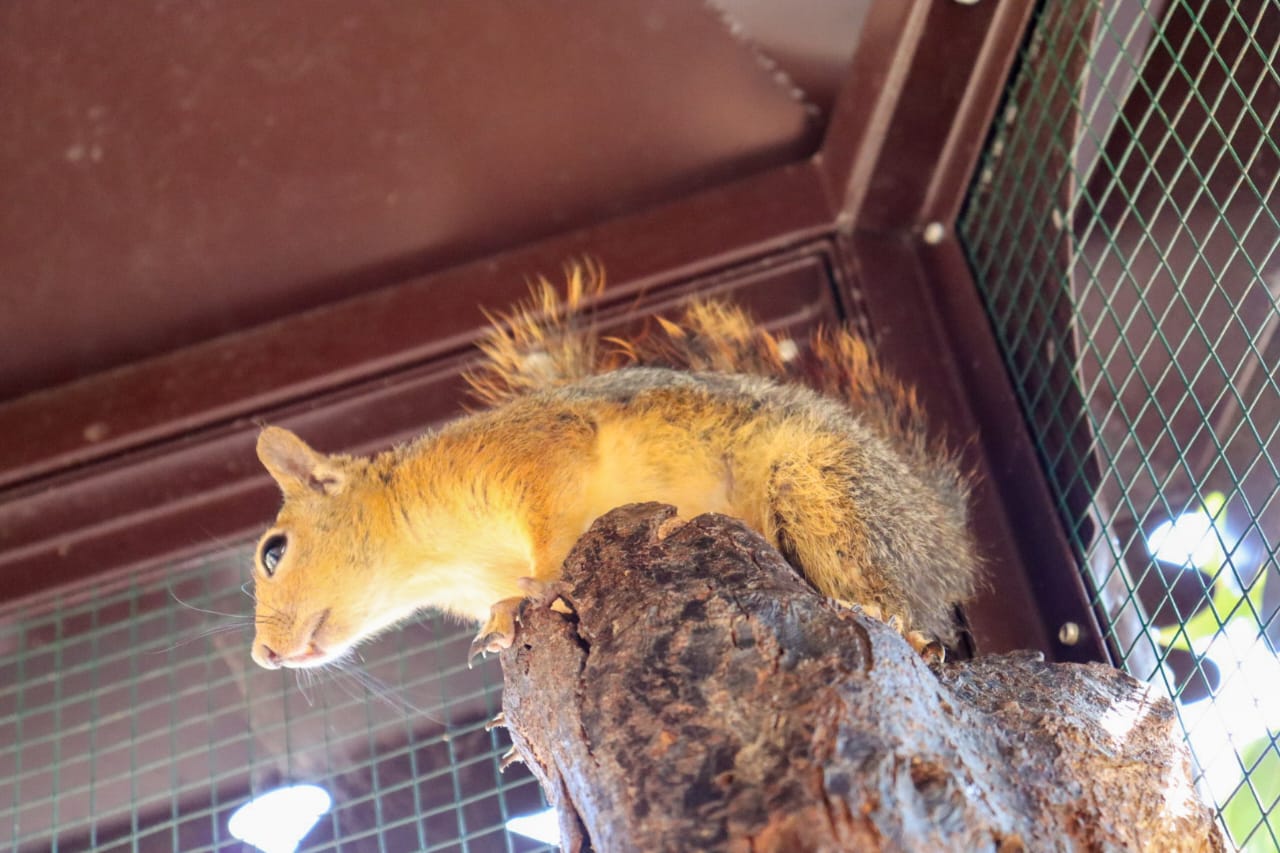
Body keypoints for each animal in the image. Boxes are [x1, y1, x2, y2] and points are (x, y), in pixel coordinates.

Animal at [249, 261, 980, 670]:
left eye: (273, 551)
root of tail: (948, 537)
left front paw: (543, 584)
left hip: (827, 491)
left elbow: (552, 518)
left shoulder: (532, 449)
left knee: (888, 594)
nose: (263, 655)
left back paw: (910, 632)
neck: (441, 560)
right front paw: (503, 618)